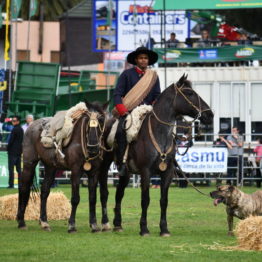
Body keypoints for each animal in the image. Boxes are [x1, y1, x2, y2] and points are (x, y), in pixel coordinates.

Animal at [16, 101, 110, 232]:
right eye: (87, 121)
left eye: (101, 120)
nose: (93, 147)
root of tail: (31, 126)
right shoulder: (75, 171)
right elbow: (75, 199)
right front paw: (72, 225)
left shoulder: (94, 173)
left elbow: (92, 198)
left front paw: (94, 225)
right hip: (29, 164)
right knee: (24, 188)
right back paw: (21, 222)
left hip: (50, 167)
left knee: (44, 191)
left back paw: (44, 222)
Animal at [101, 73, 214, 235]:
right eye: (189, 93)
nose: (210, 115)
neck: (159, 134)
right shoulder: (146, 172)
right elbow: (145, 199)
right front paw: (144, 228)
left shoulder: (167, 172)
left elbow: (164, 200)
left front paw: (164, 229)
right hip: (104, 167)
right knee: (104, 192)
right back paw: (105, 223)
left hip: (126, 173)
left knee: (119, 193)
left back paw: (118, 224)